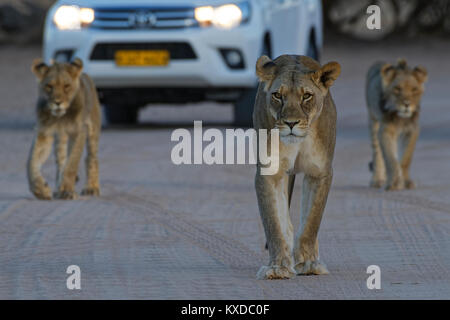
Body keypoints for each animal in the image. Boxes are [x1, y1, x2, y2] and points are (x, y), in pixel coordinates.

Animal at [28, 57, 102, 198]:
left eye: (66, 86)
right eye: (49, 86)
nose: (58, 103)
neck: (60, 118)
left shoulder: (79, 131)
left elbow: (72, 162)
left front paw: (67, 190)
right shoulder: (44, 132)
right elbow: (32, 162)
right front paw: (40, 189)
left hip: (93, 130)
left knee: (91, 158)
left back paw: (91, 188)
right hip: (60, 139)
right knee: (61, 161)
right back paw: (58, 187)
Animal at [255, 54, 340, 278]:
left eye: (307, 96)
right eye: (277, 95)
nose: (291, 123)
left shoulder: (320, 172)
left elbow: (311, 222)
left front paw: (309, 264)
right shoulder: (269, 172)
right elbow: (274, 223)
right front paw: (278, 267)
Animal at [366, 58, 426, 190]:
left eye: (414, 89)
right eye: (397, 89)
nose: (406, 104)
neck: (401, 118)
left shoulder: (412, 130)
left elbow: (406, 159)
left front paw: (406, 181)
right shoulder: (385, 131)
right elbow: (390, 159)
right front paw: (394, 183)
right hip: (373, 121)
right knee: (377, 152)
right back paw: (377, 180)